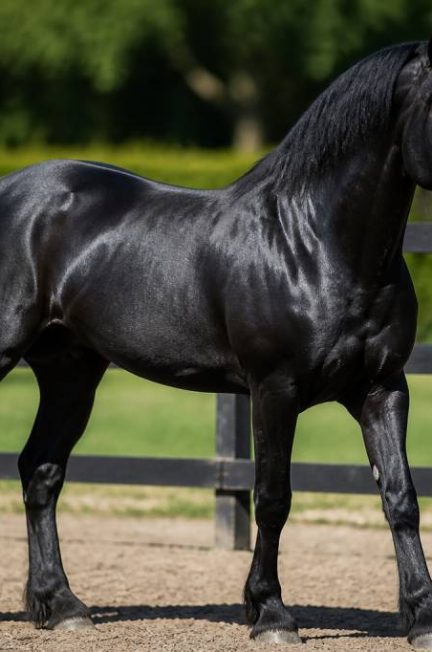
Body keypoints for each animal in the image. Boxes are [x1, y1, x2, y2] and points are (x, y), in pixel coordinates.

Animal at [1, 38, 432, 648]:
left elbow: (401, 498)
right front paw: (271, 614)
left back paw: (62, 606)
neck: (314, 244)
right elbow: (273, 498)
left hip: (70, 372)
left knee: (40, 471)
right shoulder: (274, 389)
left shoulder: (382, 389)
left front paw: (421, 616)